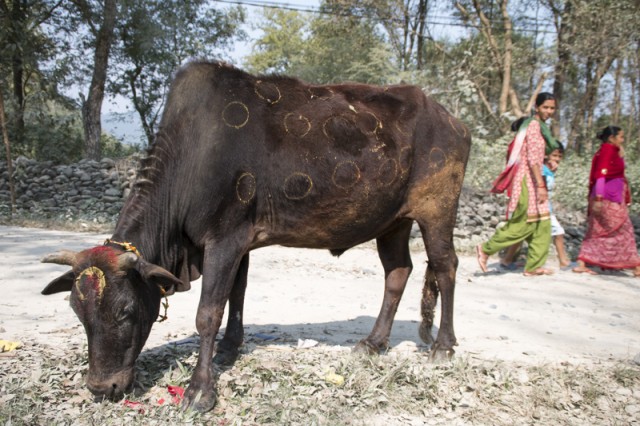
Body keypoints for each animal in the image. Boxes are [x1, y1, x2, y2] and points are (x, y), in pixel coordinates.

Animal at [40, 60, 470, 412]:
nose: (102, 388)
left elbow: (208, 312)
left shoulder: (224, 240)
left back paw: (443, 346)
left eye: (126, 310)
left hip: (437, 210)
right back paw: (373, 343)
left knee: (445, 266)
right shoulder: (240, 242)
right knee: (398, 272)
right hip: (393, 222)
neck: (191, 155)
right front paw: (230, 348)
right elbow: (237, 294)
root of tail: (454, 121)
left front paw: (200, 390)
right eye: (77, 311)